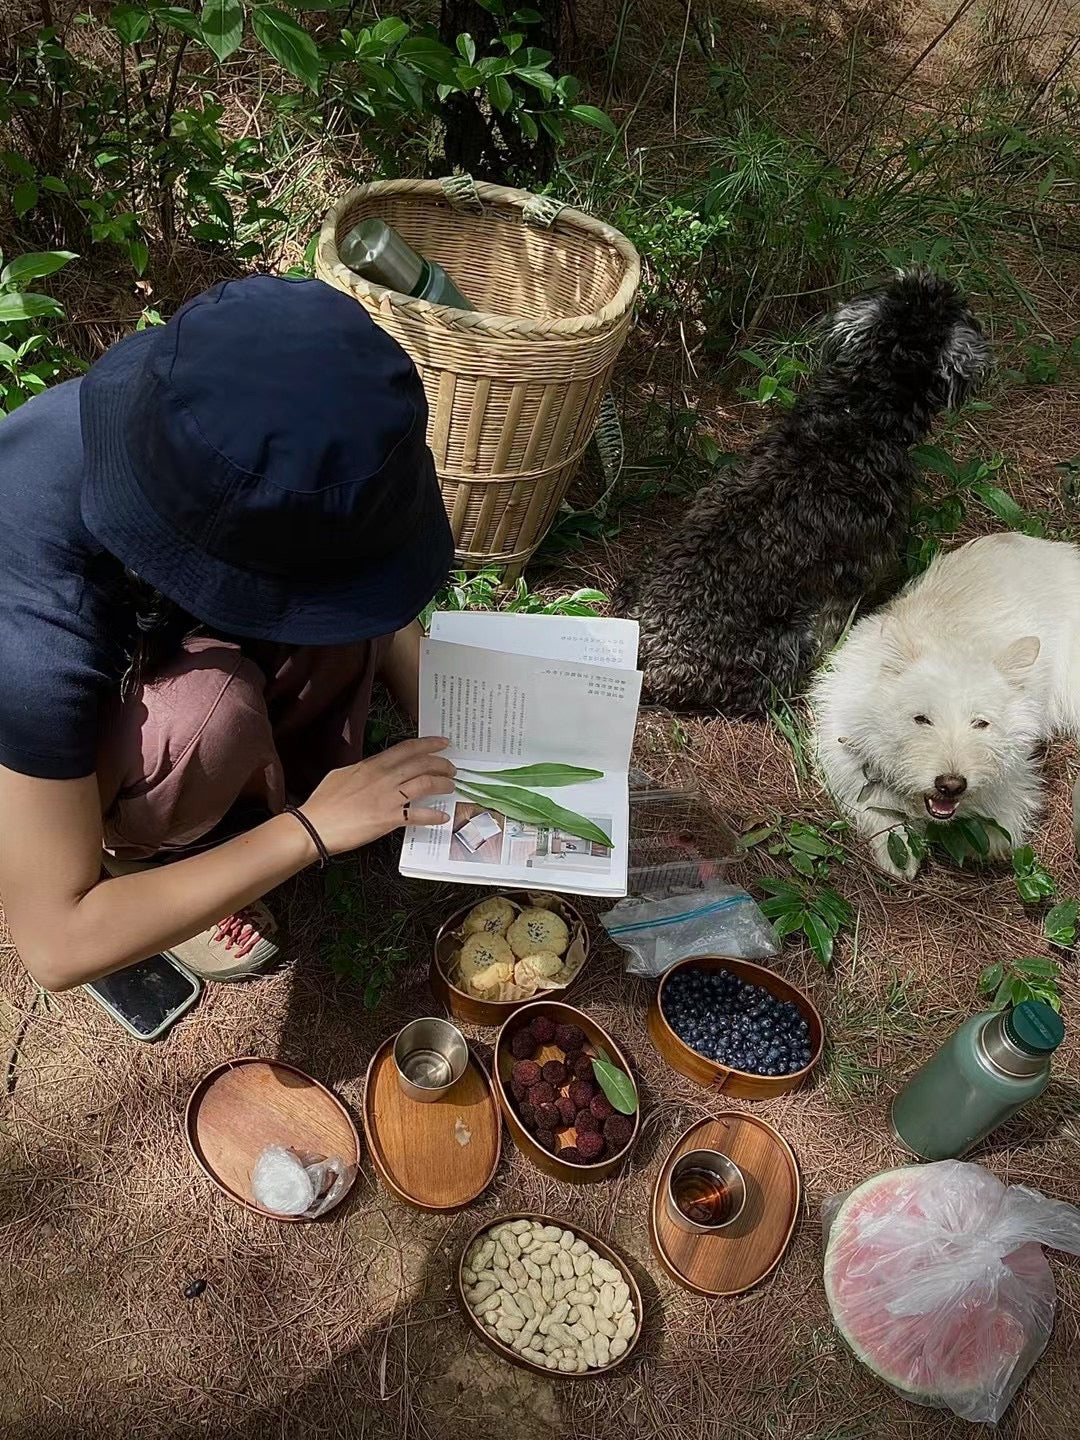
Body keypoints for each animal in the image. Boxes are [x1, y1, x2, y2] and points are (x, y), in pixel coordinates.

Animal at [812, 532, 1080, 875]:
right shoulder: (845, 757)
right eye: (921, 719)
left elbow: (999, 823)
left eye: (980, 723)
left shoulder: (1015, 773)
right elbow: (878, 809)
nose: (951, 785)